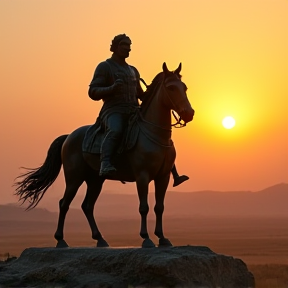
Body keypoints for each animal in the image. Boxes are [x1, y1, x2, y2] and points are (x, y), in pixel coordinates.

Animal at [15, 62, 196, 248]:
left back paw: (100, 239)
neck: (153, 133)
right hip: (74, 178)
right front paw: (146, 238)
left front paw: (162, 238)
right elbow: (143, 207)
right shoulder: (142, 176)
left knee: (87, 206)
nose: (189, 113)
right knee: (64, 204)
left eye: (184, 87)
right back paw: (61, 240)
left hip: (95, 180)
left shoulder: (163, 177)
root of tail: (68, 136)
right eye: (171, 88)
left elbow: (159, 207)